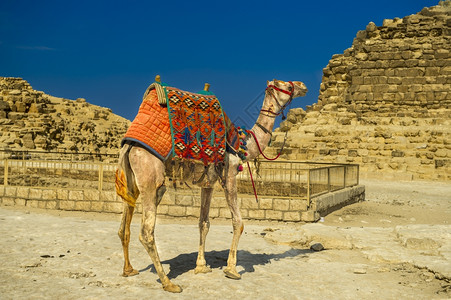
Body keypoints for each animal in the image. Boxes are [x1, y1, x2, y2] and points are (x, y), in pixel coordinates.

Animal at [116, 78, 308, 292]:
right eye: (288, 86)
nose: (303, 85)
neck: (242, 146)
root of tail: (129, 145)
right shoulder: (229, 175)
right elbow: (238, 222)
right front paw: (231, 269)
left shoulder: (208, 183)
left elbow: (204, 223)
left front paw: (201, 266)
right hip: (150, 176)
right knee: (146, 231)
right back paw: (168, 282)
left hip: (130, 179)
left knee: (124, 226)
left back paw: (128, 270)